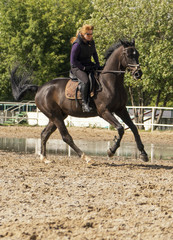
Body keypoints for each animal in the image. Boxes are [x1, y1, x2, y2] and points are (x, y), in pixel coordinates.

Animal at [10, 39, 149, 163]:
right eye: (128, 55)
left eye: (137, 54)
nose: (138, 74)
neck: (110, 82)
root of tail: (40, 88)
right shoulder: (104, 112)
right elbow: (120, 128)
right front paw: (111, 151)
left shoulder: (121, 109)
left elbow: (134, 128)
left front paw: (143, 154)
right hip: (55, 116)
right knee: (66, 137)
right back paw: (85, 157)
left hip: (57, 116)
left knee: (45, 134)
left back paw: (44, 158)